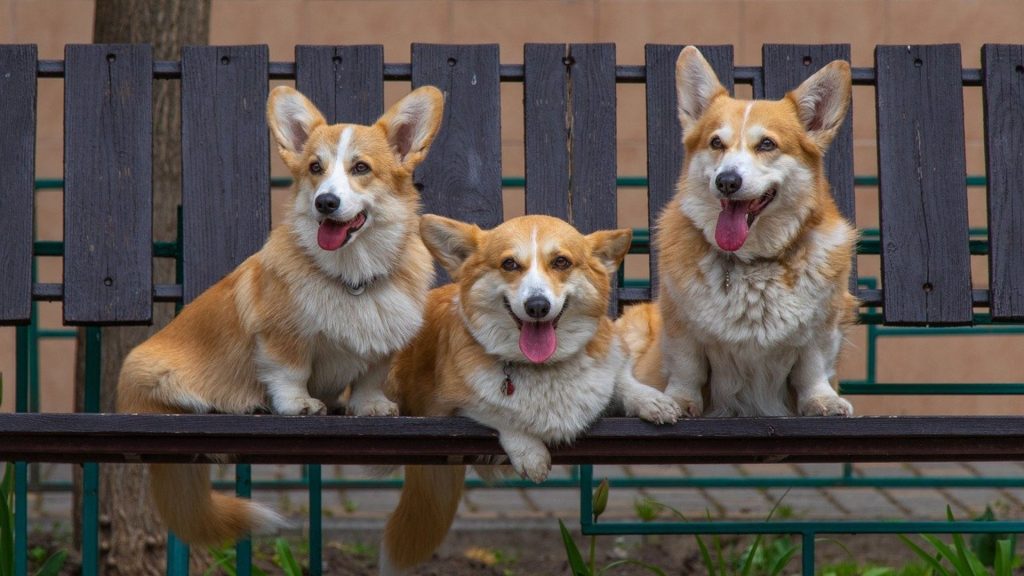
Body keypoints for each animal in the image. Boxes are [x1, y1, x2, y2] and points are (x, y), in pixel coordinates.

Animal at [117, 84, 444, 541]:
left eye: (361, 167)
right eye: (315, 168)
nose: (326, 202)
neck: (352, 275)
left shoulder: (383, 345)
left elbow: (369, 377)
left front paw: (369, 406)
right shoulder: (281, 337)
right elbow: (290, 372)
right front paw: (299, 404)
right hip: (155, 376)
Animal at [376, 213, 679, 569]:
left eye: (561, 262)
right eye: (509, 264)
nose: (537, 306)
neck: (545, 367)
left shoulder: (611, 368)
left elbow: (624, 381)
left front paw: (653, 401)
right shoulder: (447, 404)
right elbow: (497, 411)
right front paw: (531, 454)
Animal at [618, 43, 860, 412]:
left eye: (767, 144)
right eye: (716, 143)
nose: (727, 181)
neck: (751, 263)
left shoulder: (823, 325)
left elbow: (813, 367)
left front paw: (822, 401)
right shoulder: (680, 325)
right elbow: (687, 368)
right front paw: (681, 401)